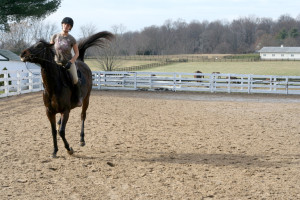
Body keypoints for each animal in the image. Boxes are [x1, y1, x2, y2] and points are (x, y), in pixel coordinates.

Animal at [19, 30, 113, 158]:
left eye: (39, 46)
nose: (23, 54)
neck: (53, 87)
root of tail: (81, 61)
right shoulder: (49, 112)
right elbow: (54, 131)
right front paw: (54, 151)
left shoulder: (65, 110)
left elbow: (62, 132)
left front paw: (69, 149)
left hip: (86, 99)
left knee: (83, 116)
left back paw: (82, 140)